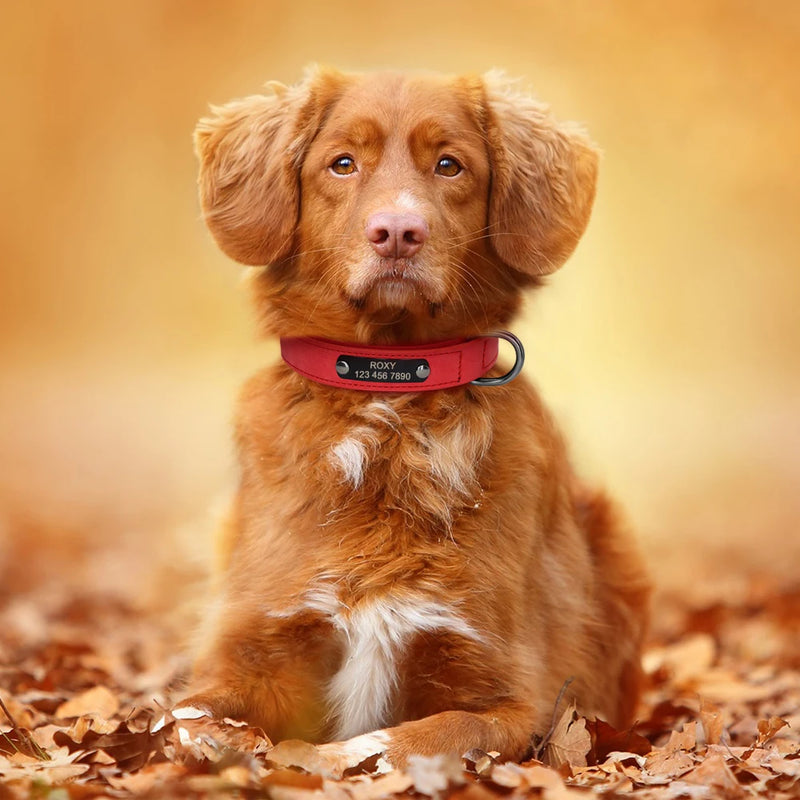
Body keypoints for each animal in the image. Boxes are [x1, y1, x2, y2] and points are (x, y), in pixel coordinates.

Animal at [177, 67, 648, 764]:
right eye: (343, 163)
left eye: (449, 165)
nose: (398, 232)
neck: (390, 398)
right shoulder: (252, 652)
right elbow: (186, 718)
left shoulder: (513, 703)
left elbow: (392, 744)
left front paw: (311, 762)